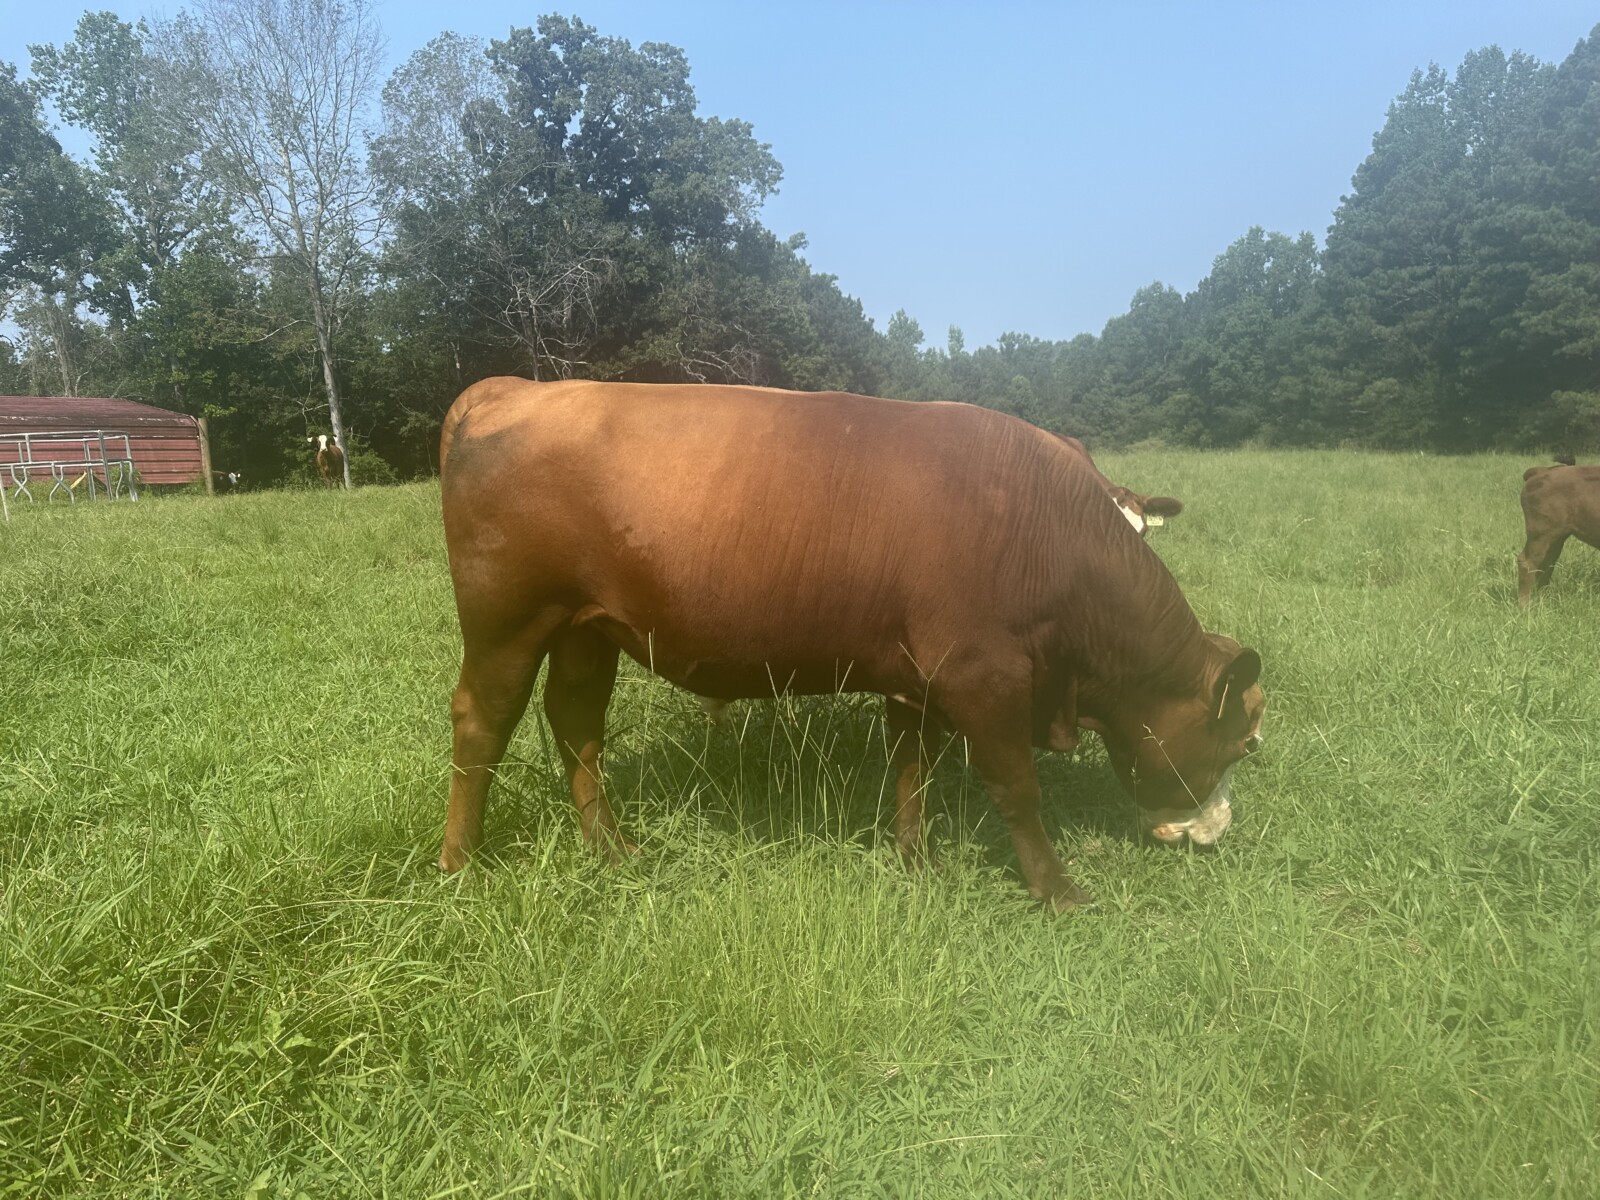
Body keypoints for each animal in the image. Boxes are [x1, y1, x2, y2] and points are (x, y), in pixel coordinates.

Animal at [438, 379, 1265, 910]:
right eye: (1243, 741)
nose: (1219, 831)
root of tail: (513, 387)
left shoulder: (917, 674)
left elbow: (912, 768)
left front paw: (915, 857)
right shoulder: (985, 675)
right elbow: (1015, 788)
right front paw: (1058, 892)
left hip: (586, 630)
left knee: (577, 724)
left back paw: (612, 849)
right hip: (508, 623)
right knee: (482, 724)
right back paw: (461, 866)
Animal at [1518, 457, 1600, 606]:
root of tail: (1542, 471)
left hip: (1556, 538)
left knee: (1546, 564)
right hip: (1541, 535)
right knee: (1528, 563)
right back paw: (1524, 605)